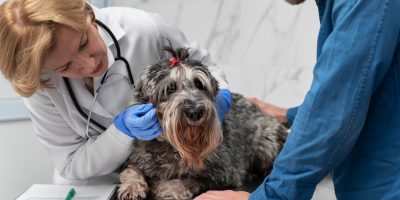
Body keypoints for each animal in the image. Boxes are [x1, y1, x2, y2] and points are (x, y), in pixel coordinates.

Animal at [116, 45, 288, 200]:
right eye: (170, 88)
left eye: (199, 84)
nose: (195, 111)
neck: (176, 147)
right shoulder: (136, 158)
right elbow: (131, 170)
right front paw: (132, 186)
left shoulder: (224, 173)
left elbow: (188, 180)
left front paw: (164, 187)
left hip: (266, 142)